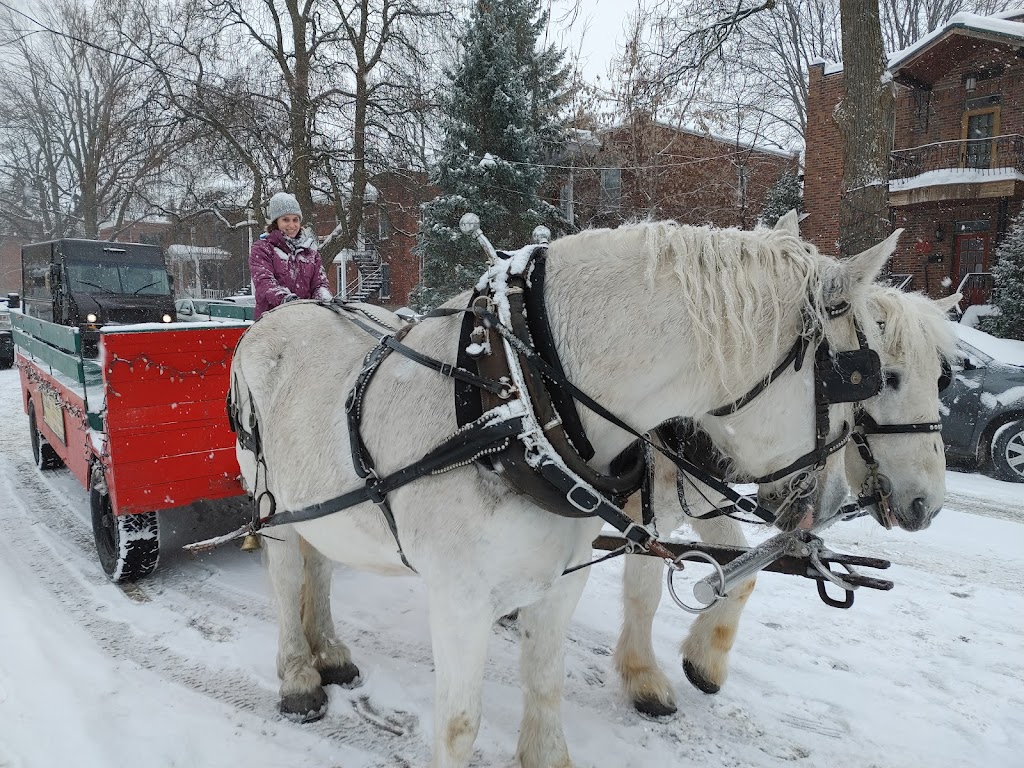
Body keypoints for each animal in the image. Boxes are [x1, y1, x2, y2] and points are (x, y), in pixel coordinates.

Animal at [229, 219, 905, 768]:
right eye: (861, 377)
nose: (835, 502)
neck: (518, 406)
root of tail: (272, 320)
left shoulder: (560, 580)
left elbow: (545, 687)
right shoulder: (459, 597)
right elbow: (458, 724)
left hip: (322, 504)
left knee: (320, 563)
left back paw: (330, 652)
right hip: (271, 502)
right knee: (286, 574)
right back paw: (299, 676)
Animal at [613, 279, 961, 717]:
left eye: (941, 379)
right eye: (887, 378)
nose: (927, 504)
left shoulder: (705, 500)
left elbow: (738, 576)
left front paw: (705, 661)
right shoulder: (644, 512)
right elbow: (644, 590)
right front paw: (643, 678)